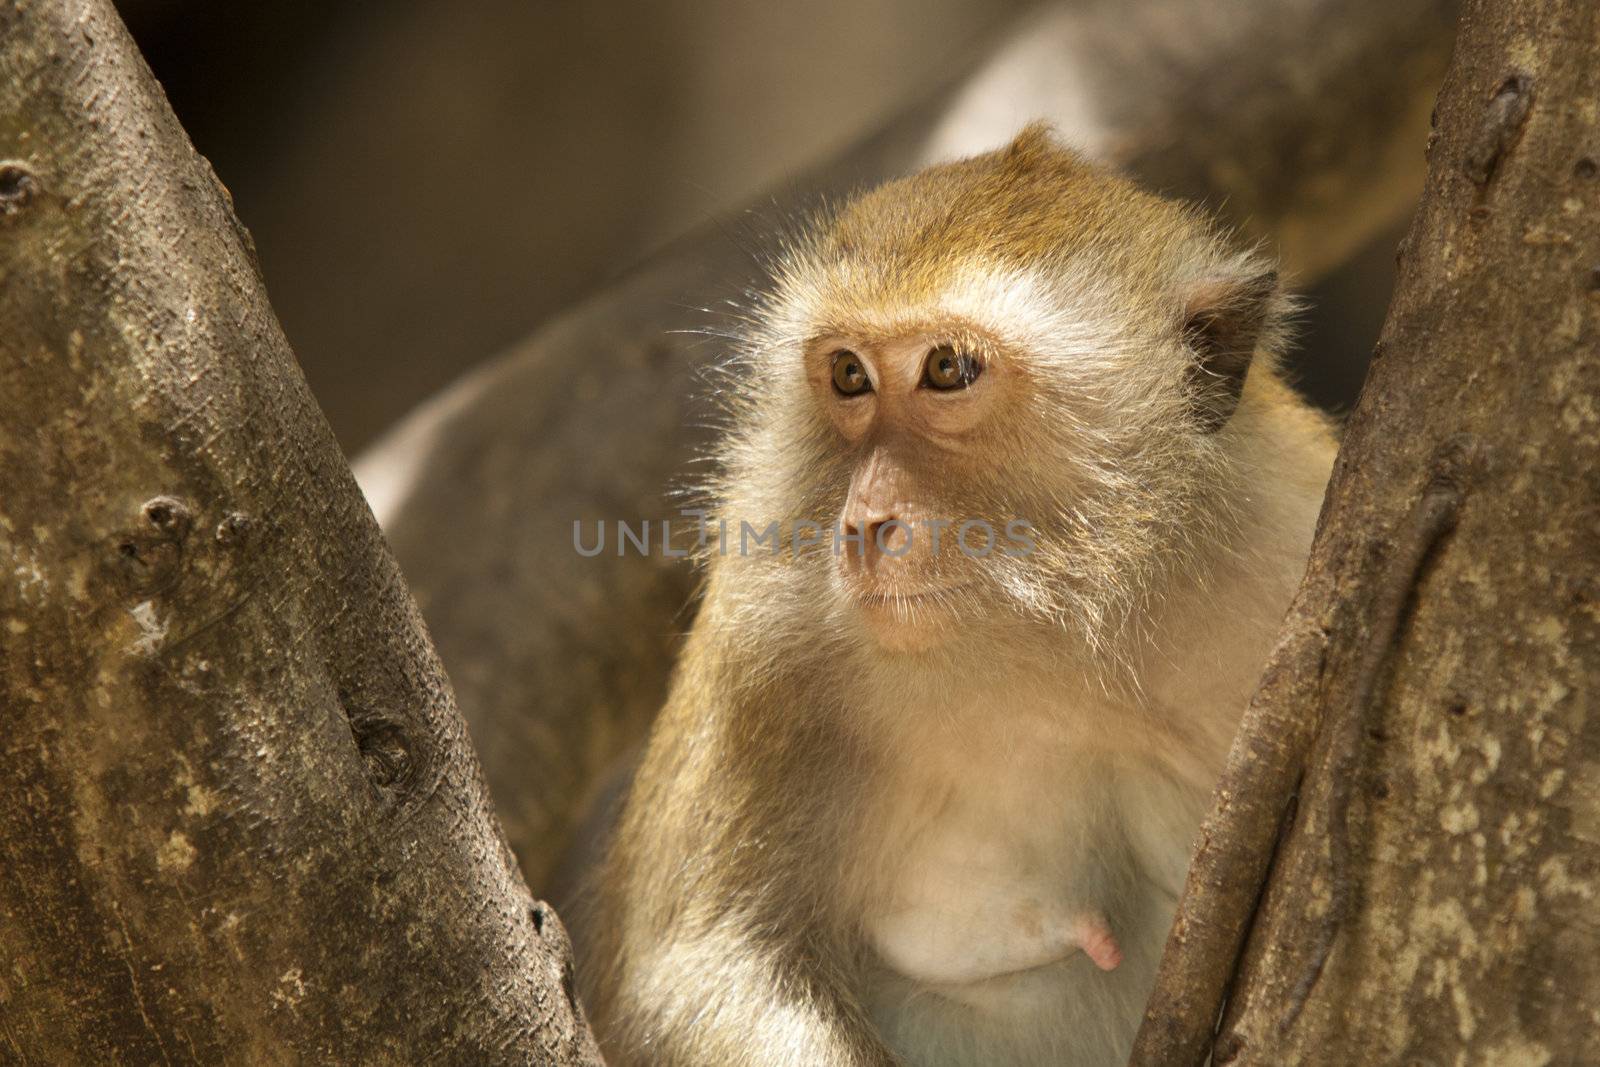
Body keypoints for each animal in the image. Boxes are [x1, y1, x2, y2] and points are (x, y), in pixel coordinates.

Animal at [585, 127, 1337, 1067]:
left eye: (947, 368)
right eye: (849, 375)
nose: (865, 519)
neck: (1070, 626)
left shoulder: (1297, 529)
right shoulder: (764, 642)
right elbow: (700, 966)